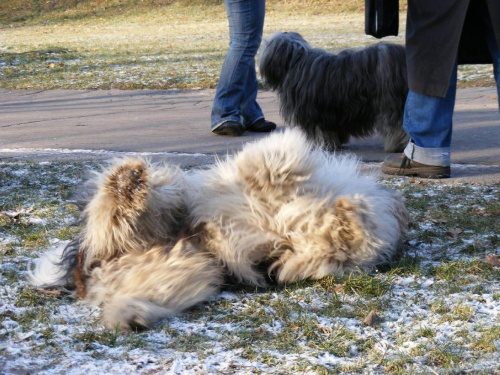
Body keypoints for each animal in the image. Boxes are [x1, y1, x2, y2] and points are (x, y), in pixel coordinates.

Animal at [29, 129, 408, 332]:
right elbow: (272, 167)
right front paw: (276, 156)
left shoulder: (315, 248)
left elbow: (337, 240)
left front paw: (347, 218)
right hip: (172, 199)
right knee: (113, 219)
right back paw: (127, 183)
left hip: (182, 268)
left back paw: (129, 315)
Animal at [260, 32, 408, 153]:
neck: (296, 61)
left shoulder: (313, 112)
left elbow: (318, 131)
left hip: (389, 102)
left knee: (397, 125)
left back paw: (397, 145)